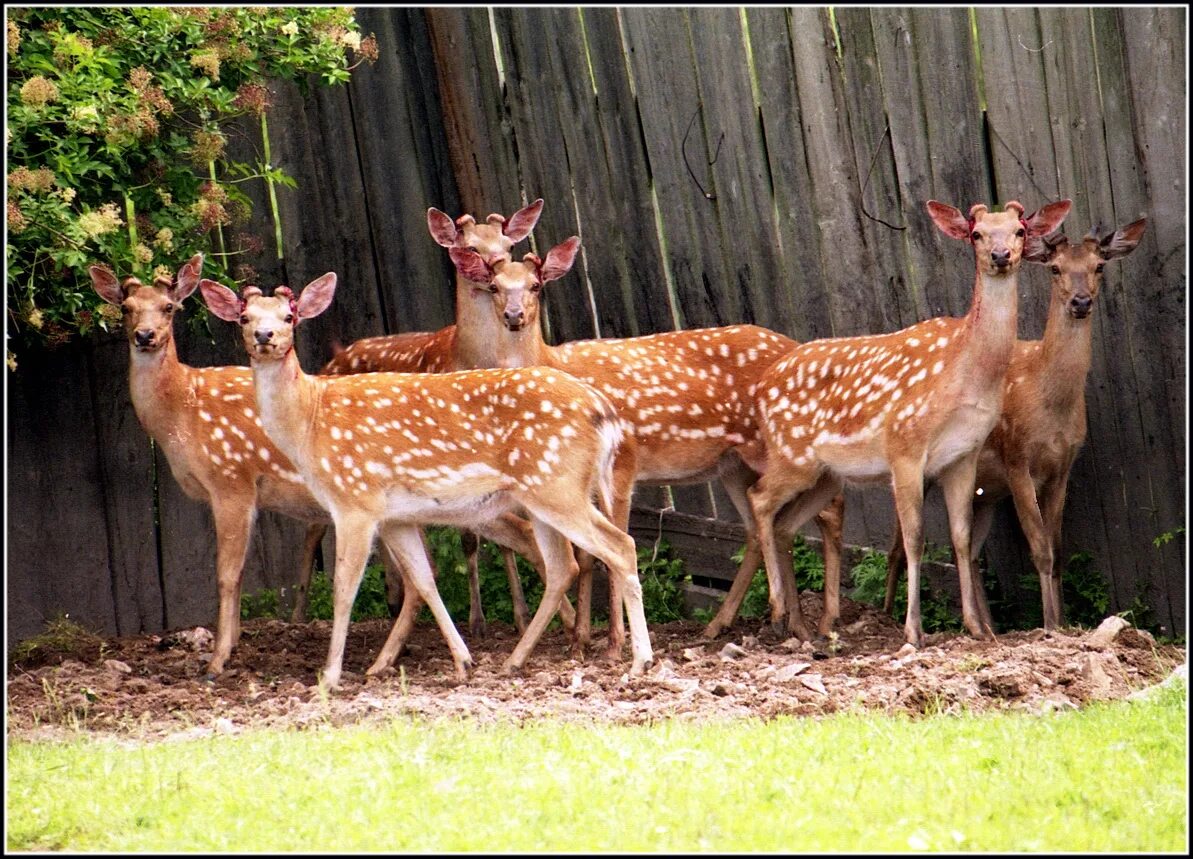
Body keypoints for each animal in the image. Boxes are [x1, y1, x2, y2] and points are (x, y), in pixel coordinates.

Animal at [201, 272, 658, 687]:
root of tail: (602, 409)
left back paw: (639, 661)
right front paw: (463, 661)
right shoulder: (395, 517)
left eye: (289, 315)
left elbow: (344, 586)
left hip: (558, 485)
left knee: (620, 546)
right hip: (545, 494)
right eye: (244, 316)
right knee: (564, 565)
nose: (264, 336)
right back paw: (515, 660)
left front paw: (328, 677)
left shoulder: (355, 500)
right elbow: (423, 580)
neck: (310, 422)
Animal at [298, 199, 558, 639]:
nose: (492, 268)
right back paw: (299, 613)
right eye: (468, 245)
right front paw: (476, 619)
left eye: (508, 243)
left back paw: (393, 599)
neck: (465, 356)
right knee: (316, 524)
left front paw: (520, 616)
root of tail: (336, 355)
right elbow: (470, 538)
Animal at [448, 235, 849, 649]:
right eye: (494, 287)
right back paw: (734, 624)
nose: (514, 316)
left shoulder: (623, 462)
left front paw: (614, 641)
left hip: (778, 447)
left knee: (827, 506)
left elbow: (616, 546)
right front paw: (581, 638)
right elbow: (588, 554)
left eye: (535, 285)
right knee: (760, 524)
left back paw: (816, 619)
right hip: (732, 462)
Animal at [744, 199, 1073, 644]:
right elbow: (915, 539)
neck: (965, 378)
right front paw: (913, 630)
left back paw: (802, 628)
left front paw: (976, 628)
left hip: (825, 475)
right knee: (758, 499)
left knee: (784, 524)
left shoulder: (963, 457)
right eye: (976, 234)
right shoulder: (904, 447)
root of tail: (761, 387)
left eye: (1019, 230)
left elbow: (961, 539)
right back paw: (778, 607)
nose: (1001, 255)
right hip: (790, 454)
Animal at [882, 218, 1150, 625]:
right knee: (899, 545)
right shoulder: (1016, 458)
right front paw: (1050, 625)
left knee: (969, 550)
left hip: (984, 492)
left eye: (1099, 266)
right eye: (1054, 268)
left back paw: (986, 625)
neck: (1049, 405)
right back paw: (883, 617)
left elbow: (1057, 550)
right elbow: (1040, 548)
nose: (1080, 302)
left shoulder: (1063, 468)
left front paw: (1064, 622)